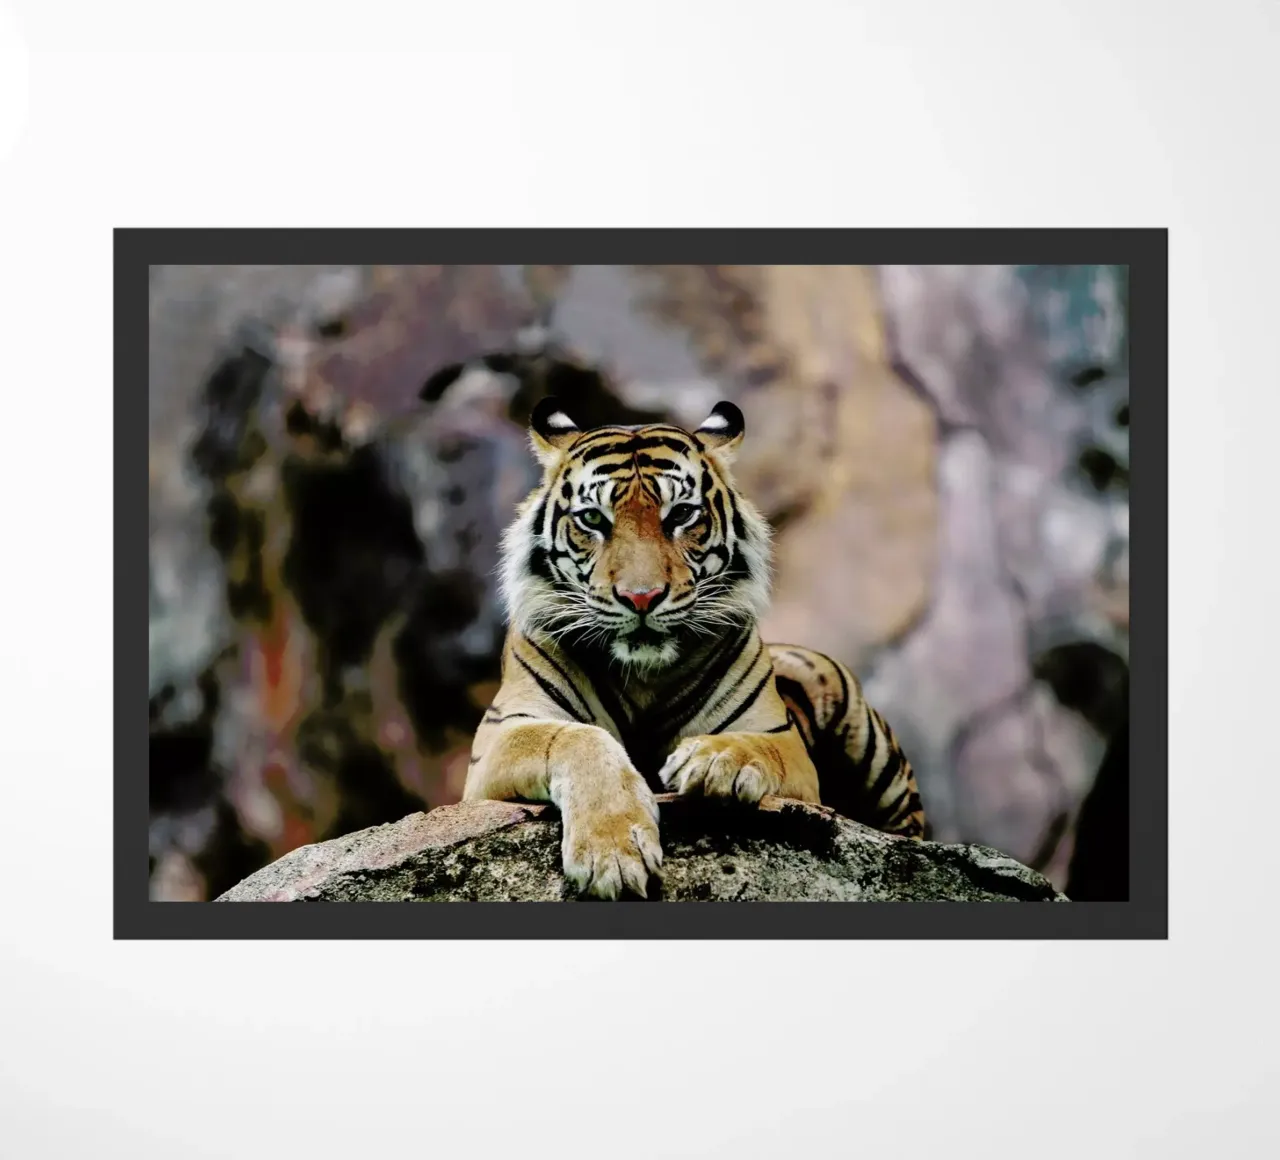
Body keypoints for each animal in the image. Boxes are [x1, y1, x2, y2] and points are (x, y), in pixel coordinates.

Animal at [462, 396, 926, 899]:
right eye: (593, 519)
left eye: (681, 515)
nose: (641, 597)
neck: (643, 675)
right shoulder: (502, 736)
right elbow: (575, 738)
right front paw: (613, 853)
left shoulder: (782, 740)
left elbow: (754, 746)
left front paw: (714, 760)